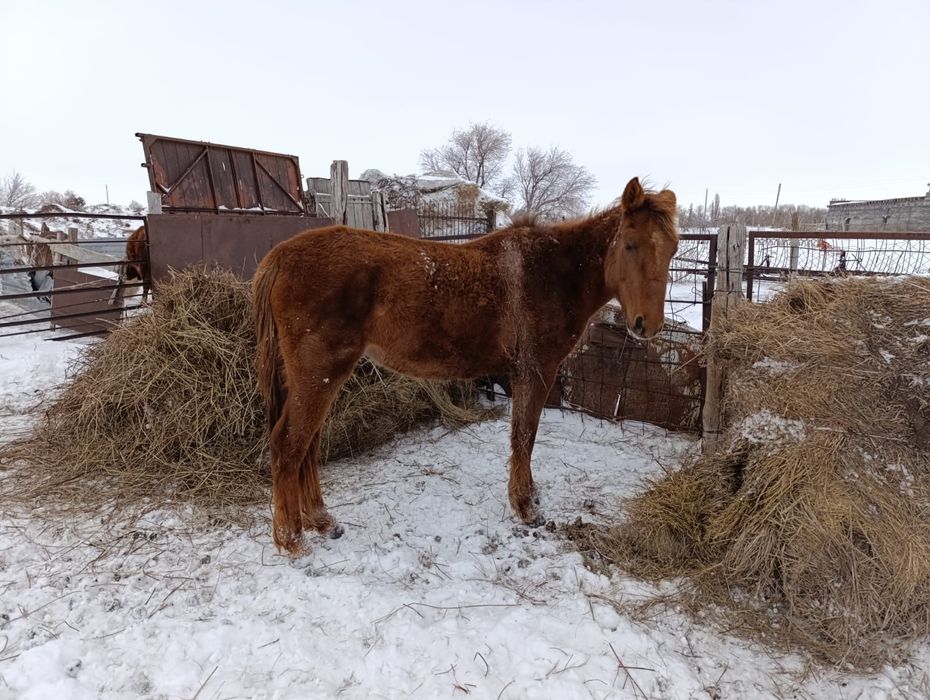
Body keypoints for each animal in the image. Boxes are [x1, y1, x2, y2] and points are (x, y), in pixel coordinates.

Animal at [253, 177, 679, 554]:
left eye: (673, 249)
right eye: (629, 244)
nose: (647, 325)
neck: (553, 272)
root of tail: (281, 256)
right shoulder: (536, 372)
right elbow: (524, 437)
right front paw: (526, 507)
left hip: (313, 380)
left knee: (306, 446)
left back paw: (322, 522)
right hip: (318, 377)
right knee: (288, 446)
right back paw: (293, 540)